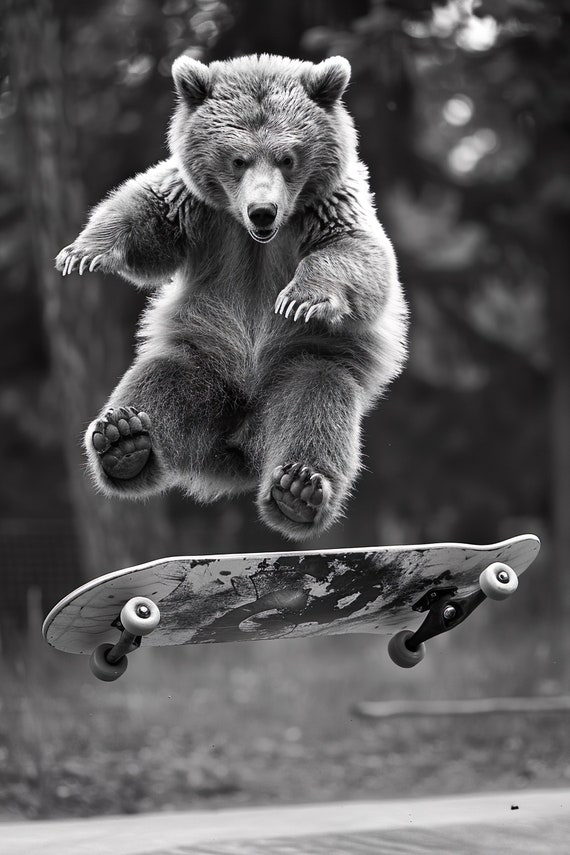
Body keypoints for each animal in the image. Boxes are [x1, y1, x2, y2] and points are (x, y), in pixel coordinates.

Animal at [55, 53, 408, 541]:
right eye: (238, 159)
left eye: (287, 157)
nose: (263, 211)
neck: (257, 237)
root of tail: (235, 452)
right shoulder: (199, 209)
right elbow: (146, 213)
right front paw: (83, 252)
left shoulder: (328, 208)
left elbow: (355, 255)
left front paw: (300, 298)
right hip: (203, 356)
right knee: (162, 382)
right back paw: (123, 441)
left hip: (307, 362)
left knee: (316, 405)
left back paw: (298, 489)